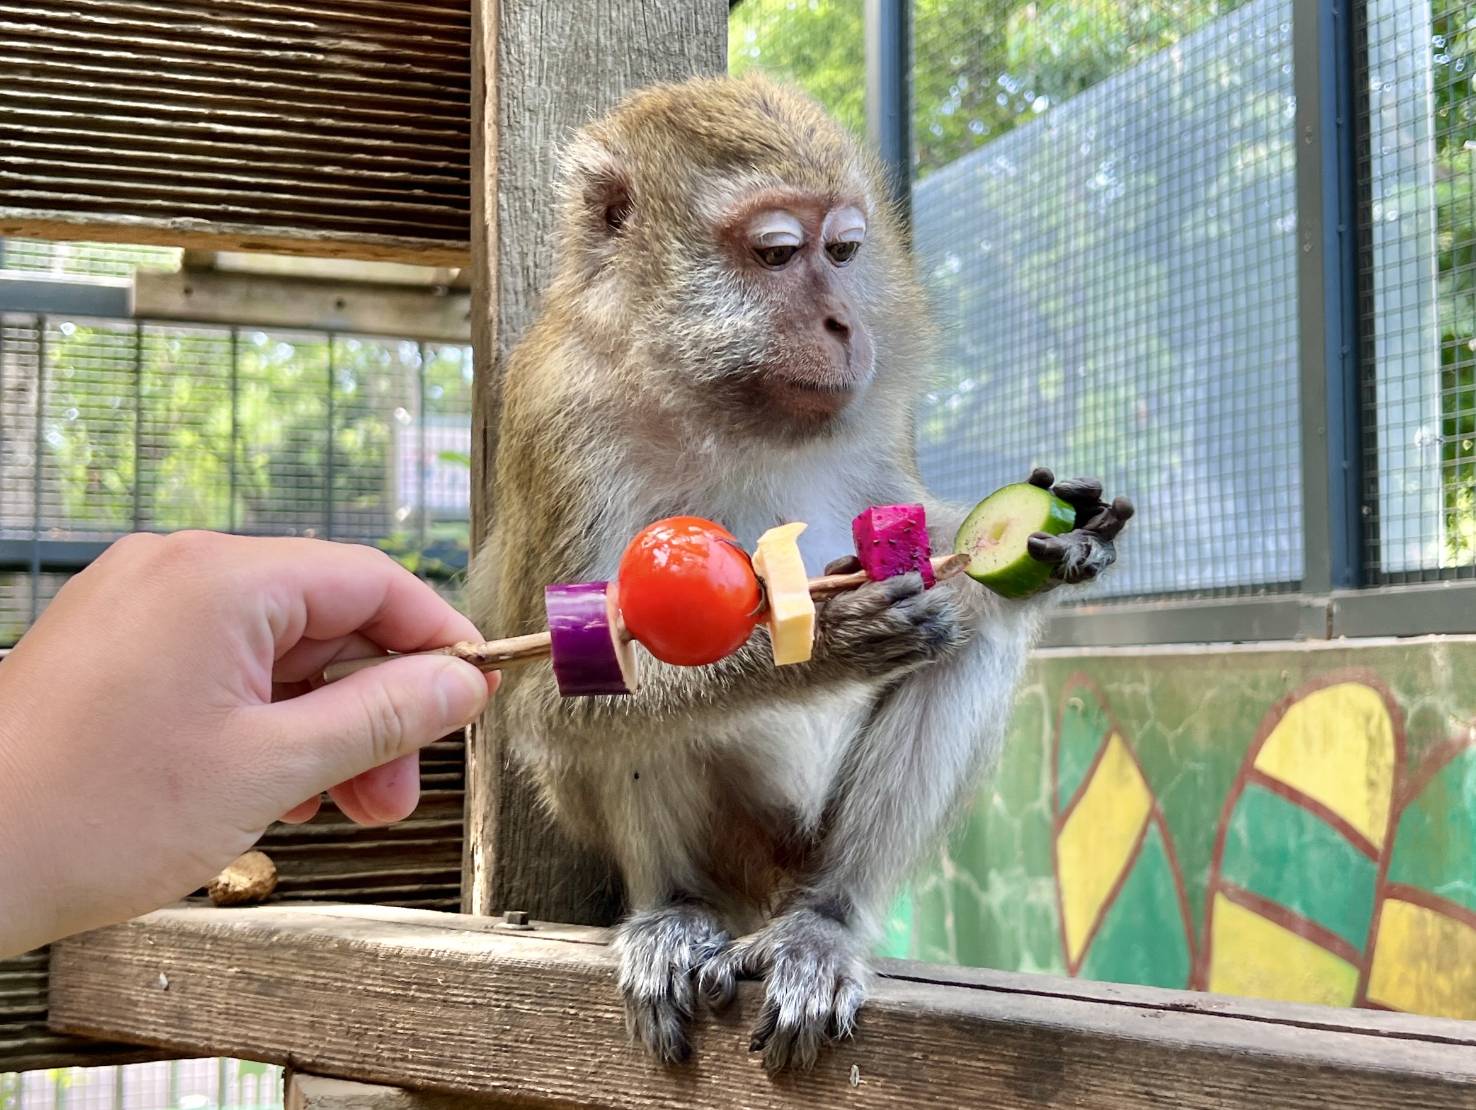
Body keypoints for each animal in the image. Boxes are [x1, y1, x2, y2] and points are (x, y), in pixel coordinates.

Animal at [472, 73, 1127, 1068]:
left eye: (845, 250)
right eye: (778, 254)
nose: (845, 323)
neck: (710, 396)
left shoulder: (873, 413)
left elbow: (943, 557)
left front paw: (1066, 534)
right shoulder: (559, 416)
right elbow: (553, 691)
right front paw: (828, 642)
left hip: (801, 842)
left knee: (974, 636)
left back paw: (821, 921)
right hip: (734, 838)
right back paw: (672, 915)